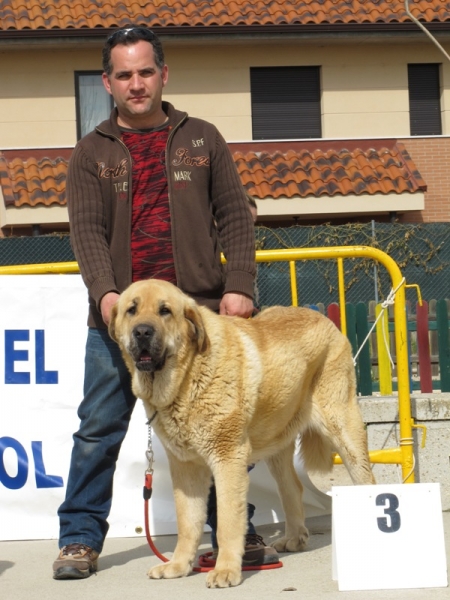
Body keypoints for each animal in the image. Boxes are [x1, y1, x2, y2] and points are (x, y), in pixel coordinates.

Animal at [110, 278, 376, 588]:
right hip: (277, 445)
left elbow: (227, 521)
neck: (187, 376)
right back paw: (295, 538)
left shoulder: (228, 459)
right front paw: (178, 565)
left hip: (344, 430)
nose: (142, 331)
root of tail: (323, 319)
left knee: (366, 481)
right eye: (132, 310)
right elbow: (187, 522)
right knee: (293, 488)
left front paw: (226, 570)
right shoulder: (186, 469)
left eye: (165, 311)